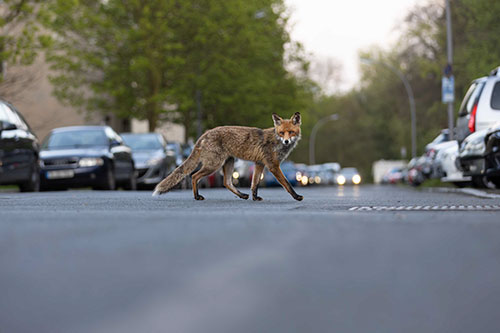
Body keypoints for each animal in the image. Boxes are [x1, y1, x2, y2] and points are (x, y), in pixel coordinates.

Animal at [152, 112, 302, 200]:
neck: (276, 141)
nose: (286, 141)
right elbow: (287, 184)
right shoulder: (273, 165)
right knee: (194, 176)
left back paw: (242, 195)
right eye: (282, 133)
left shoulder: (259, 164)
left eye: (291, 132)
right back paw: (197, 196)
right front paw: (297, 196)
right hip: (214, 165)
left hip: (228, 162)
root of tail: (205, 134)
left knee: (226, 182)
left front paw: (254, 197)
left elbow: (254, 184)